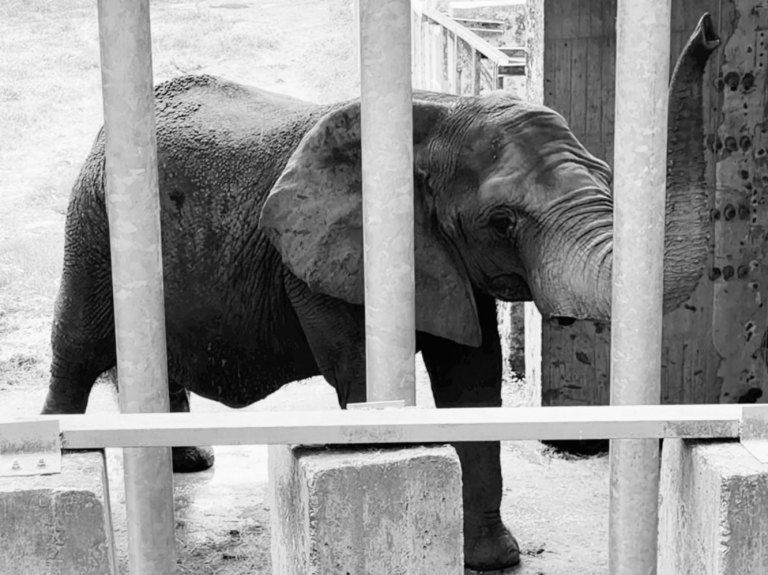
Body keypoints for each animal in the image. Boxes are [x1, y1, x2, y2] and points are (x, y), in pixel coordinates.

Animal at [41, 14, 719, 571]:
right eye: (502, 221)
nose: (711, 30)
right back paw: (57, 455)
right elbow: (370, 372)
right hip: (95, 224)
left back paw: (188, 463)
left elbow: (471, 380)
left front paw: (494, 560)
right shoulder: (326, 262)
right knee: (76, 343)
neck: (435, 116)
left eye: (606, 178)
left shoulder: (448, 260)